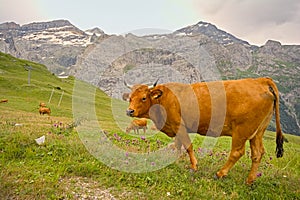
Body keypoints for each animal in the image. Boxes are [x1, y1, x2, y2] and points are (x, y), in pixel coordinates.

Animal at [124, 77, 284, 184]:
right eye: (130, 98)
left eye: (144, 98)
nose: (129, 111)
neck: (163, 99)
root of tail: (261, 80)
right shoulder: (175, 127)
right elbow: (177, 145)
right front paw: (174, 160)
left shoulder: (179, 125)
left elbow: (188, 146)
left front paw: (194, 166)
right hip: (257, 133)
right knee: (257, 154)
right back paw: (249, 181)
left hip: (242, 130)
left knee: (237, 152)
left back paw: (220, 173)